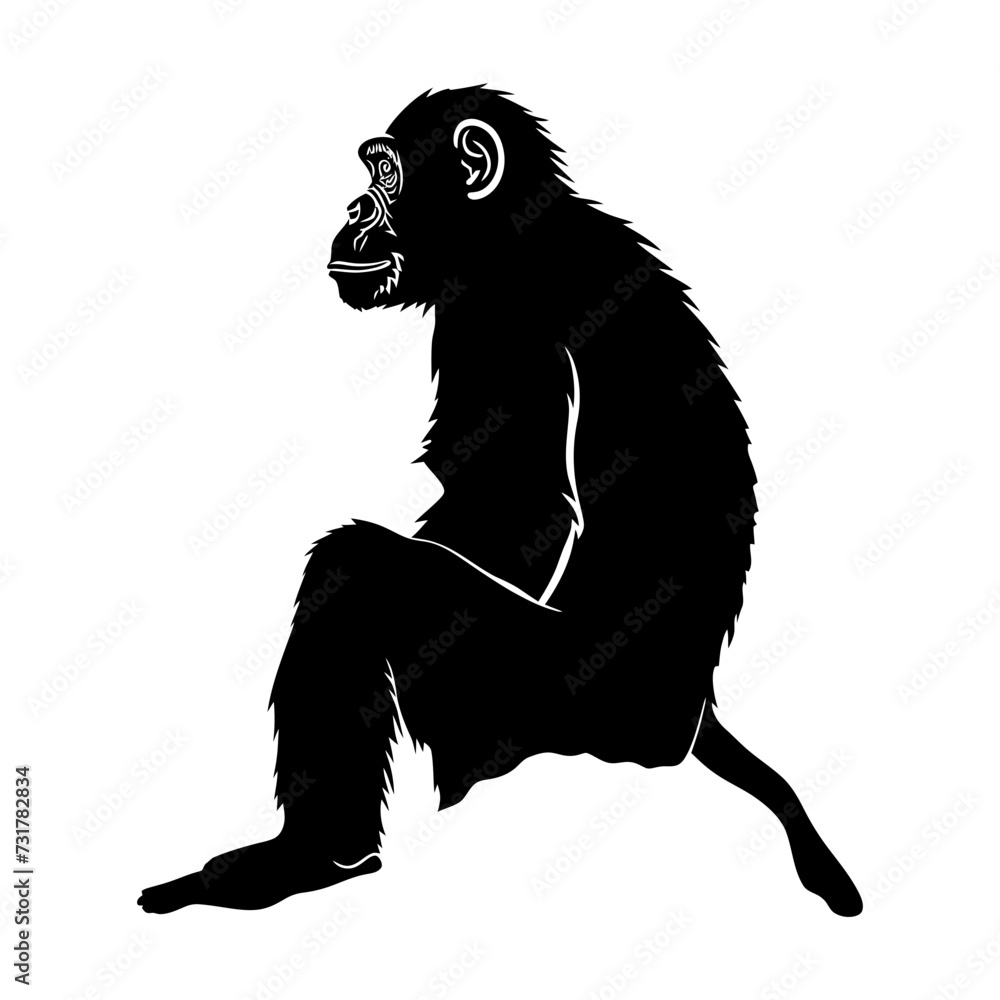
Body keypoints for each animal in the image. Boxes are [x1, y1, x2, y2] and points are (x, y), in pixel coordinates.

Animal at [138, 87, 862, 917]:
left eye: (384, 174)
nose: (352, 205)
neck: (503, 231)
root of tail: (685, 721)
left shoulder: (499, 319)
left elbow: (514, 502)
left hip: (547, 698)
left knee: (358, 570)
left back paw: (314, 856)